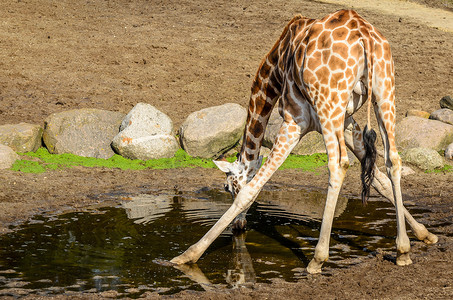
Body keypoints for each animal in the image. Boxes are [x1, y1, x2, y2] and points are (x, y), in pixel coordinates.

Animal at [170, 9, 438, 274]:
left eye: (228, 187)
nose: (239, 227)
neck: (275, 69)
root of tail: (365, 36)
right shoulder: (345, 120)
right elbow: (379, 179)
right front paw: (424, 234)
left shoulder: (295, 120)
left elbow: (252, 188)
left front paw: (187, 256)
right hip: (384, 92)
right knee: (393, 159)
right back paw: (403, 251)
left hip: (330, 103)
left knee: (338, 165)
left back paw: (317, 259)